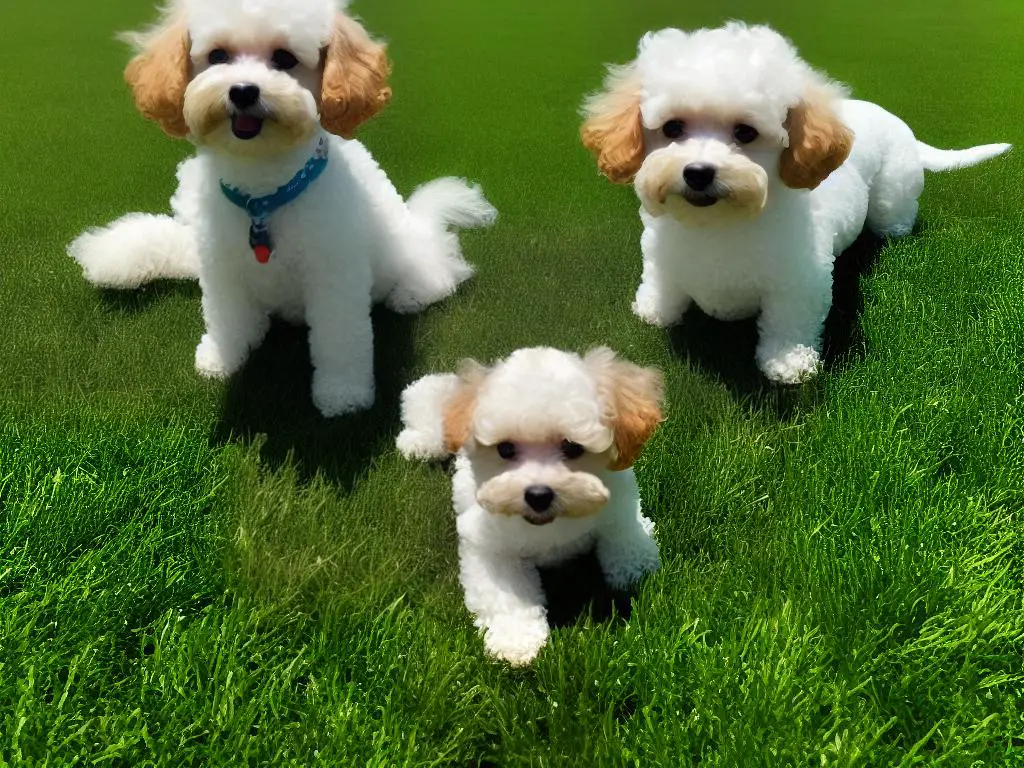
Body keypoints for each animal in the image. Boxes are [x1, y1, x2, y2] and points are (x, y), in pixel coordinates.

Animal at [70, 0, 493, 417]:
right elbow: (225, 316)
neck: (262, 196)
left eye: (285, 58)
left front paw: (342, 393)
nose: (242, 91)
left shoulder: (333, 275)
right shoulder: (221, 266)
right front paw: (222, 358)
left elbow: (340, 339)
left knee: (439, 263)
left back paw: (410, 294)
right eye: (218, 55)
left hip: (405, 249)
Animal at [395, 348, 667, 667]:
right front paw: (516, 641)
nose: (538, 495)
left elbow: (623, 533)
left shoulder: (619, 502)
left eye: (572, 447)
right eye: (505, 449)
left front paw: (634, 566)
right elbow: (507, 596)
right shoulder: (492, 547)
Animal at [581, 22, 1011, 382]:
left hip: (892, 195)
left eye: (746, 132)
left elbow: (789, 320)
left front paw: (788, 362)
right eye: (672, 128)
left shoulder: (801, 280)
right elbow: (661, 281)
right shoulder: (661, 253)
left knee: (894, 216)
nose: (698, 172)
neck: (720, 224)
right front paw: (655, 309)